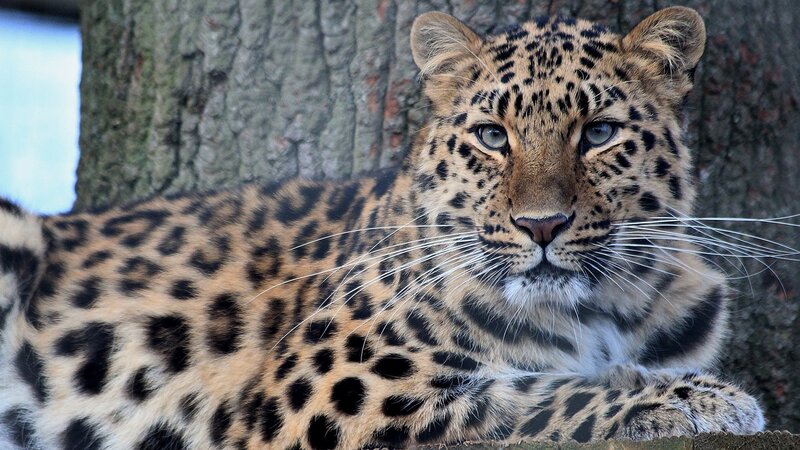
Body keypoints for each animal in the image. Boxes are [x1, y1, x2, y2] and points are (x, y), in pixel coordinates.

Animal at [0, 6, 765, 450]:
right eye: (493, 136)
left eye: (599, 133)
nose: (541, 225)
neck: (601, 312)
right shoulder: (328, 394)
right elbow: (533, 396)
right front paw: (698, 399)